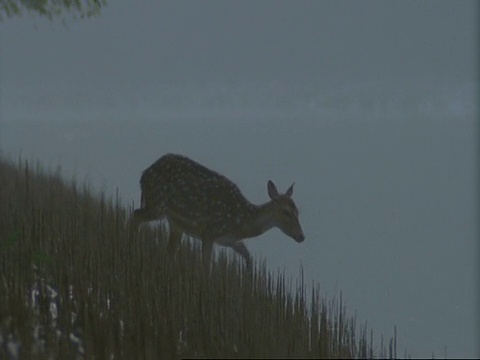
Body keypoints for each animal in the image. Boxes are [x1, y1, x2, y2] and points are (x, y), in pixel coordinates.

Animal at [131, 153, 304, 272]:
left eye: (298, 211)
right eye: (286, 212)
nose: (301, 236)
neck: (240, 223)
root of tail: (143, 175)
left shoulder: (230, 241)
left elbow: (248, 256)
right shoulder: (209, 231)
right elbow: (206, 266)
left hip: (175, 223)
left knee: (169, 252)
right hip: (157, 204)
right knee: (135, 214)